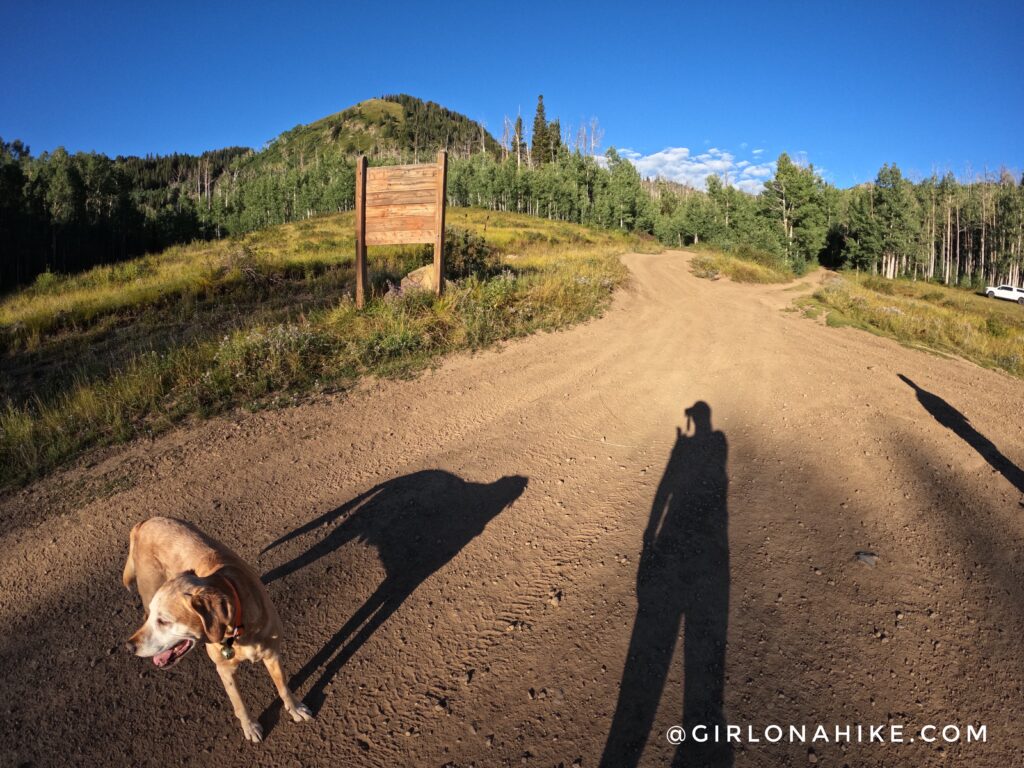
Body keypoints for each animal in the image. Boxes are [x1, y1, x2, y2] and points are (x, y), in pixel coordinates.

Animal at [122, 520, 311, 741]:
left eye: (164, 621)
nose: (129, 646)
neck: (238, 630)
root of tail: (143, 523)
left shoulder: (272, 653)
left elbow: (283, 686)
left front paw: (295, 707)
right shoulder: (224, 669)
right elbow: (238, 703)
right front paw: (249, 727)